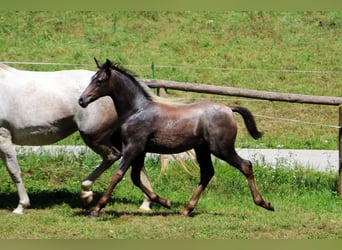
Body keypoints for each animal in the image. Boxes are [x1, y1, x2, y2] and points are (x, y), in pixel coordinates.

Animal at [0, 63, 152, 214]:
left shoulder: (4, 136)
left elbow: (14, 171)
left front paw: (21, 206)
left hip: (93, 135)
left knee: (112, 156)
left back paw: (86, 193)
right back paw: (146, 203)